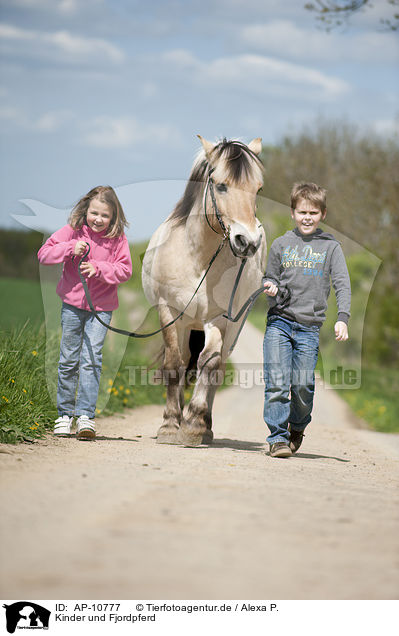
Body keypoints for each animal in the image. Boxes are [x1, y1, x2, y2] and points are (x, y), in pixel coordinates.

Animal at [142, 137, 268, 444]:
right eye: (221, 186)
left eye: (258, 189)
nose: (248, 242)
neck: (198, 258)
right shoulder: (169, 312)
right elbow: (173, 365)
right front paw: (170, 424)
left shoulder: (220, 317)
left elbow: (209, 364)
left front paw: (194, 423)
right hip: (187, 324)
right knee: (184, 360)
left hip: (233, 327)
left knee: (217, 366)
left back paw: (205, 425)